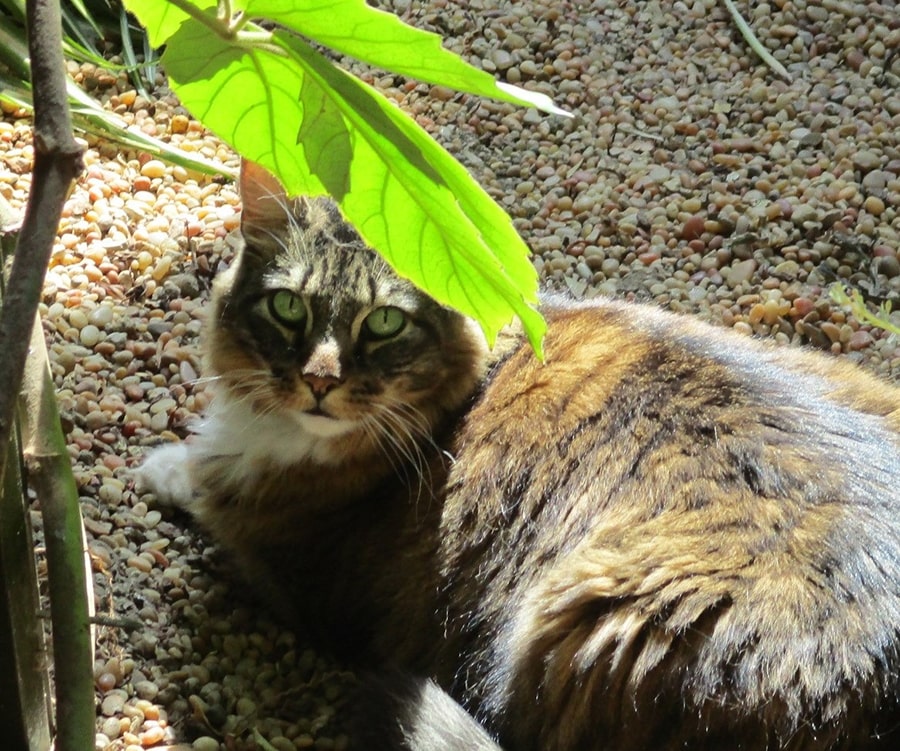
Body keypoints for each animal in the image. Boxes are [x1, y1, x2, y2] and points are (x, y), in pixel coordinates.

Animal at [139, 163, 900, 751]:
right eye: (289, 309)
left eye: (384, 322)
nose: (320, 380)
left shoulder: (284, 568)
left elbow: (201, 485)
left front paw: (162, 467)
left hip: (579, 611)